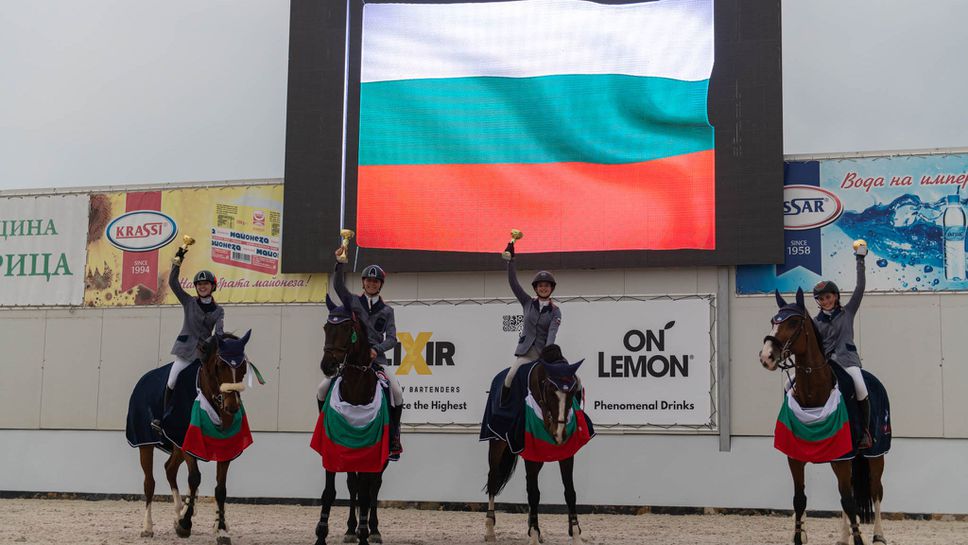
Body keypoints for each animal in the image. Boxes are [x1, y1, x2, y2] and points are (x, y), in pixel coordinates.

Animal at [125, 330, 253, 540]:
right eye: (220, 366)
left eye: (243, 367)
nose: (232, 407)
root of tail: (143, 379)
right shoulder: (187, 443)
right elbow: (194, 478)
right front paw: (185, 524)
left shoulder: (224, 448)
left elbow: (221, 488)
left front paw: (221, 528)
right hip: (145, 442)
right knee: (149, 482)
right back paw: (148, 526)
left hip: (175, 446)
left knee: (169, 469)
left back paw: (179, 512)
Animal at [308, 298, 388, 544]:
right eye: (326, 328)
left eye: (346, 330)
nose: (327, 366)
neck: (355, 391)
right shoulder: (331, 447)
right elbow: (329, 492)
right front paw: (321, 534)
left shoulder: (369, 452)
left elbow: (366, 492)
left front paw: (365, 533)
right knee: (353, 486)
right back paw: (351, 529)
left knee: (373, 486)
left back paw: (373, 530)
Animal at [480, 348, 592, 544]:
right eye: (549, 390)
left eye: (573, 392)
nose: (559, 434)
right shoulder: (530, 455)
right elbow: (534, 494)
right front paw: (532, 535)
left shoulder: (566, 454)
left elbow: (570, 492)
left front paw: (576, 534)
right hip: (496, 443)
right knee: (493, 478)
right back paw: (490, 530)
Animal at [760, 292, 888, 544]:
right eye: (773, 320)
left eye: (793, 322)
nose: (766, 356)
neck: (813, 397)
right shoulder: (796, 457)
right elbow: (800, 500)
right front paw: (799, 537)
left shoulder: (843, 459)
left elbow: (849, 501)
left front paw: (860, 539)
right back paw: (843, 538)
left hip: (875, 453)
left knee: (875, 490)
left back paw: (878, 535)